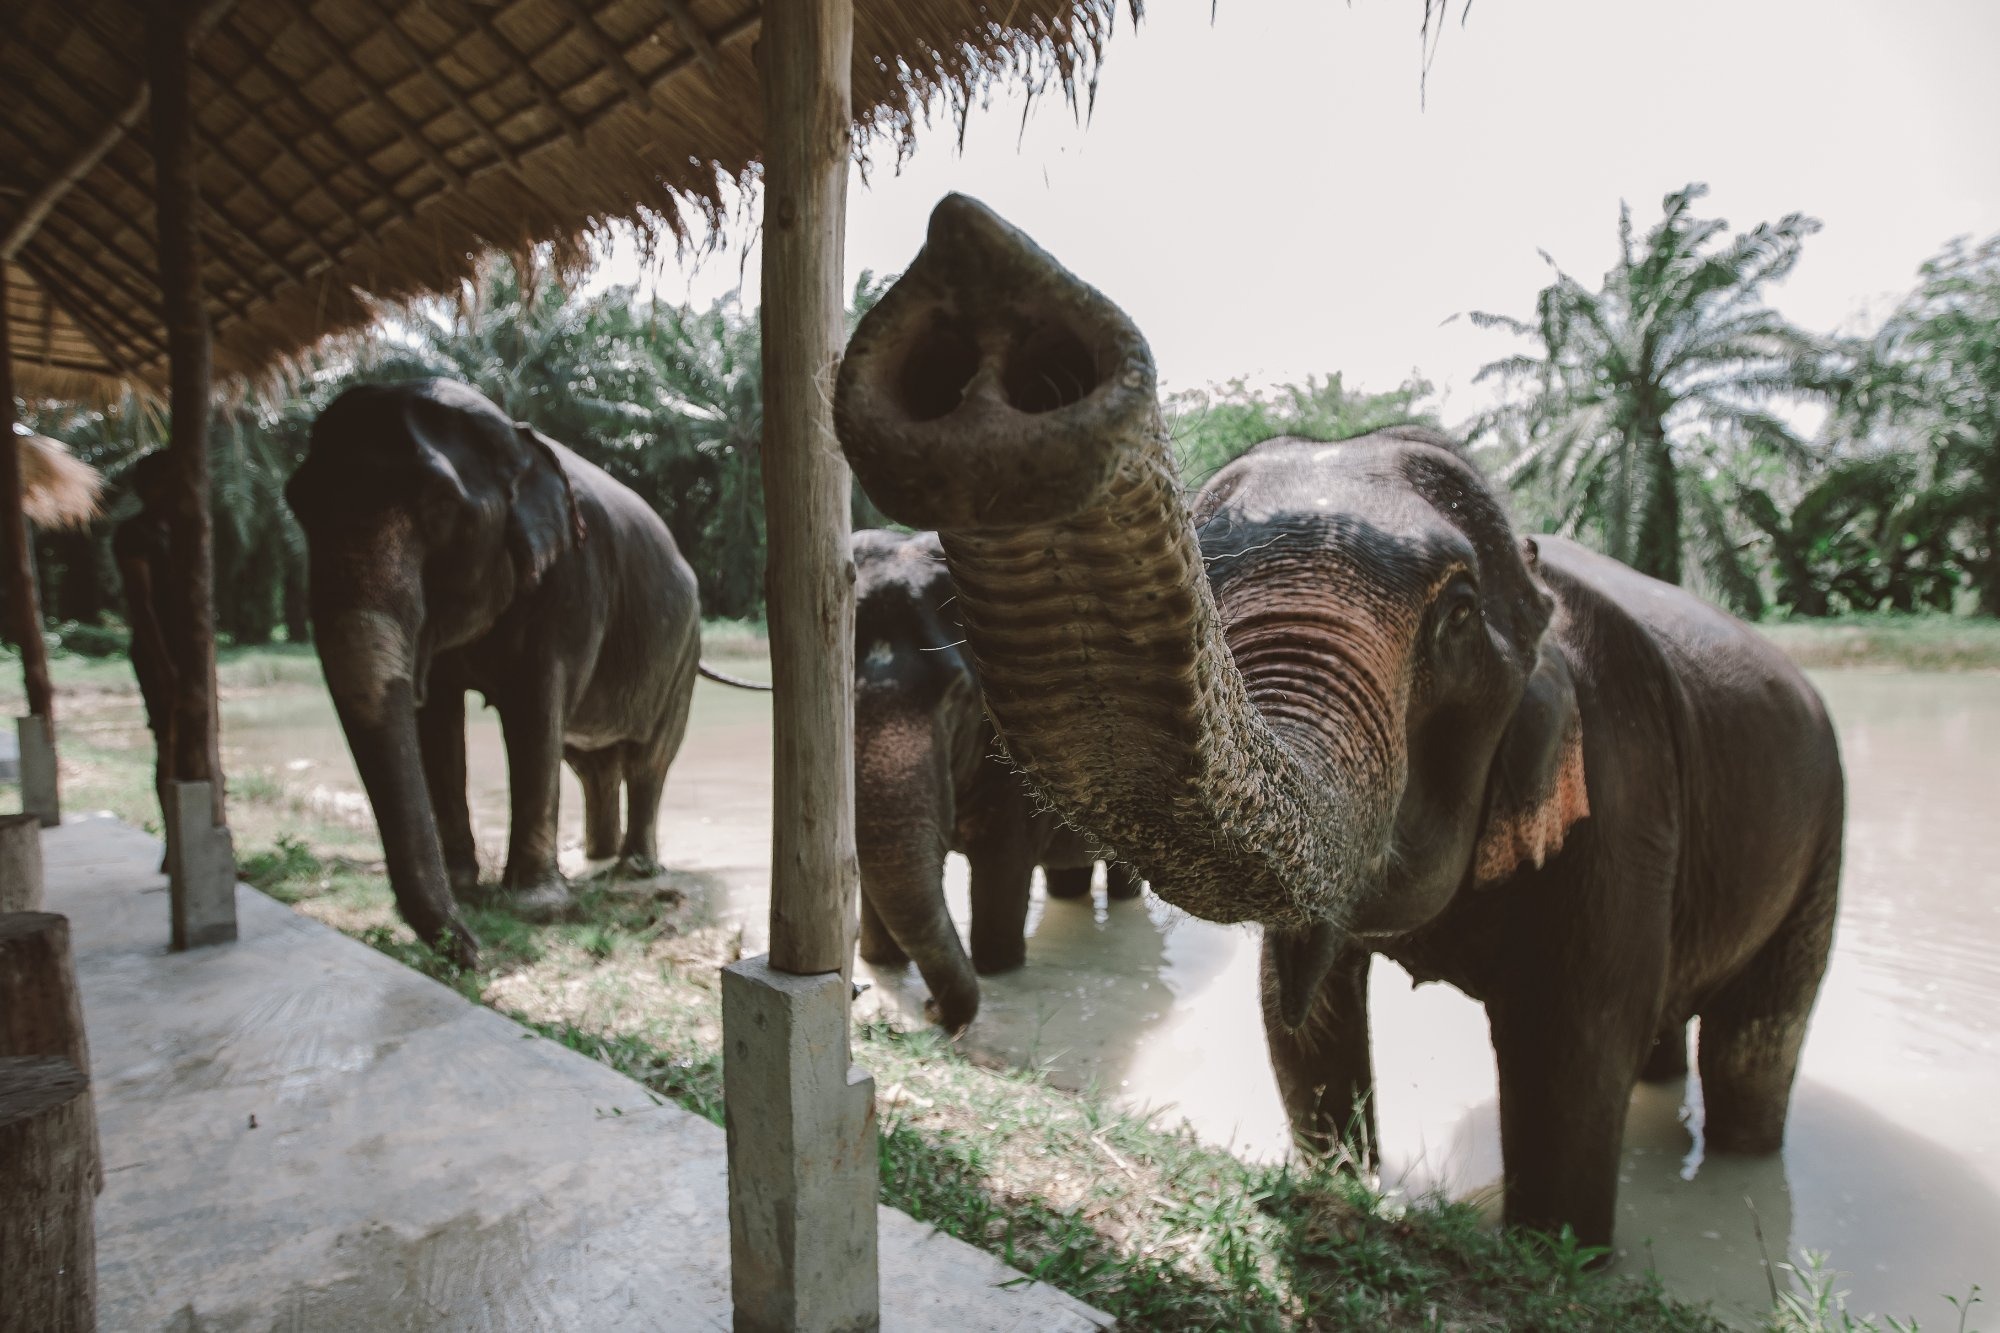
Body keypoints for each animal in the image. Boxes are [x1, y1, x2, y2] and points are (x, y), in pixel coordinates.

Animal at [287, 378, 755, 965]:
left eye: (441, 506)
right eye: (297, 505)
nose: (472, 950)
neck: (513, 438)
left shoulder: (574, 579)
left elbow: (533, 708)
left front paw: (535, 907)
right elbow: (438, 719)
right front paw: (466, 887)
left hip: (682, 653)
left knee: (648, 758)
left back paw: (634, 869)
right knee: (591, 764)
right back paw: (590, 858)